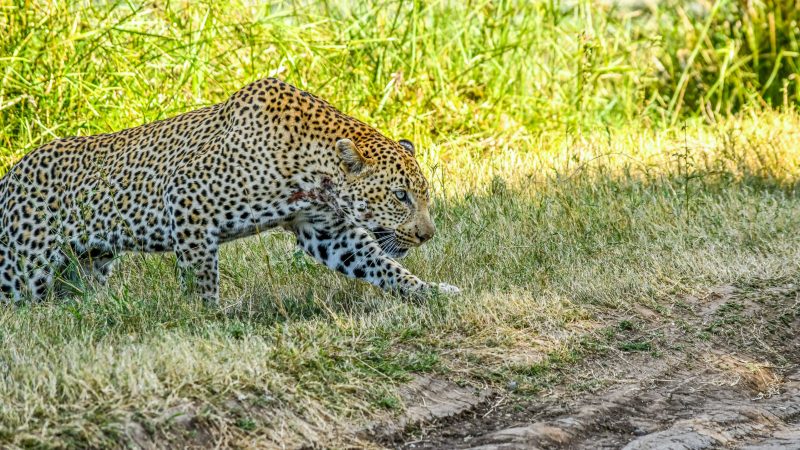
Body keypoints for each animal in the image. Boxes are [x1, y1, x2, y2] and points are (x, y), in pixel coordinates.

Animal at [0, 78, 460, 304]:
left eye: (422, 194)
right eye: (400, 196)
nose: (427, 235)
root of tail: (10, 175)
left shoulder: (328, 233)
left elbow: (385, 267)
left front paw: (433, 294)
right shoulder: (186, 199)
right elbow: (201, 274)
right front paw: (206, 317)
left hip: (84, 265)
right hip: (23, 268)